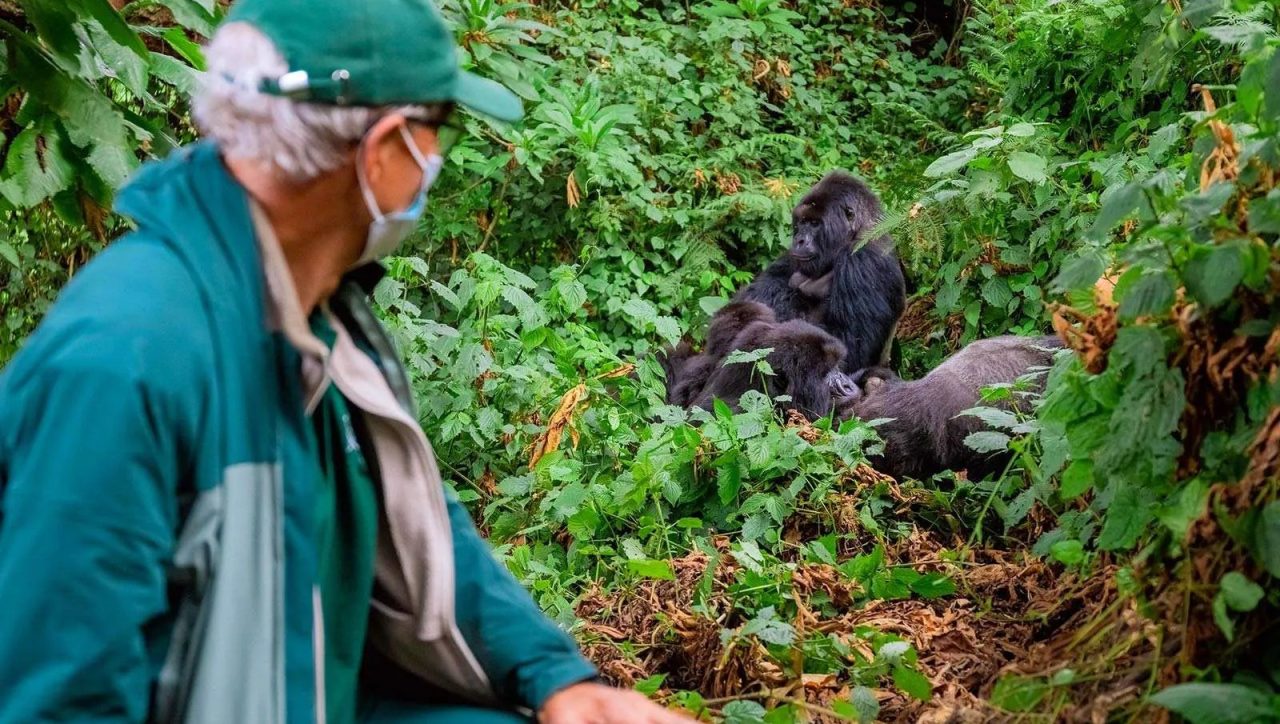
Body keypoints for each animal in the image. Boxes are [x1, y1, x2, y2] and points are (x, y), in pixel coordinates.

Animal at [733, 171, 906, 372]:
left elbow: (848, 347)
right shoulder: (791, 256)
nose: (799, 240)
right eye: (802, 222)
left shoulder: (864, 261)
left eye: (815, 223)